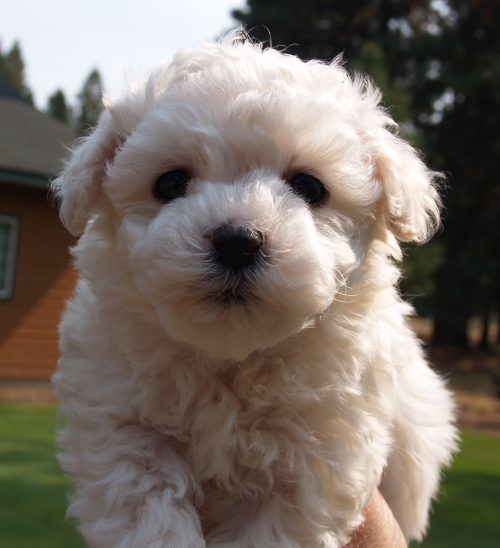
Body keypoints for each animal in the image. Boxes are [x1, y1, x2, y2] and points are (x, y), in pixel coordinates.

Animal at [51, 31, 458, 548]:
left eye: (309, 186)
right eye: (171, 182)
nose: (236, 240)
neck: (230, 360)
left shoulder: (317, 453)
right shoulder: (119, 418)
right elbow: (146, 503)